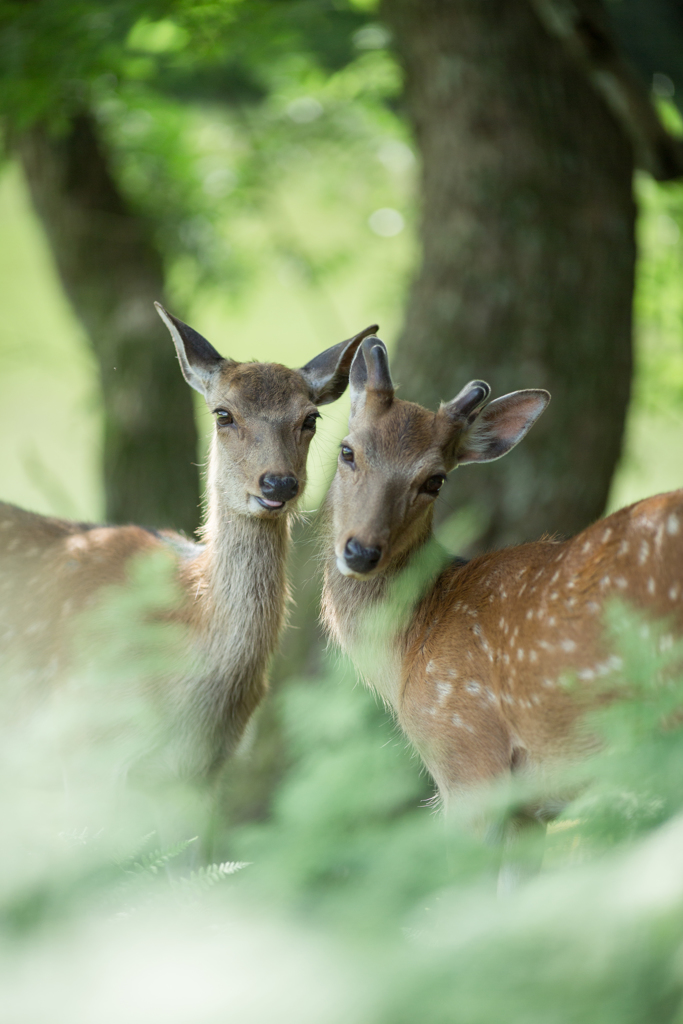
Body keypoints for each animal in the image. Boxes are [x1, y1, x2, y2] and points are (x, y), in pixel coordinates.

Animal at [319, 335, 683, 856]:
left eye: (435, 480)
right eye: (347, 451)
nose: (361, 550)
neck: (410, 650)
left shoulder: (468, 753)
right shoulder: (529, 810)